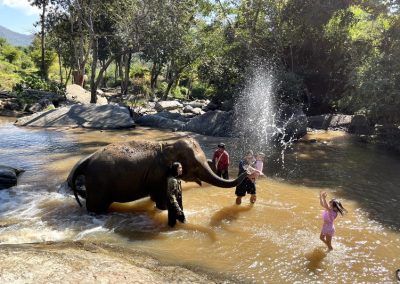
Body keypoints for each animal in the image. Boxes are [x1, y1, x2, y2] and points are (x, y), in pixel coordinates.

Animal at [67, 137, 245, 215]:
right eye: (195, 166)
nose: (247, 170)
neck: (167, 145)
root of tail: (86, 160)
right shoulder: (160, 175)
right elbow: (162, 200)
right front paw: (164, 209)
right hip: (99, 184)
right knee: (96, 206)